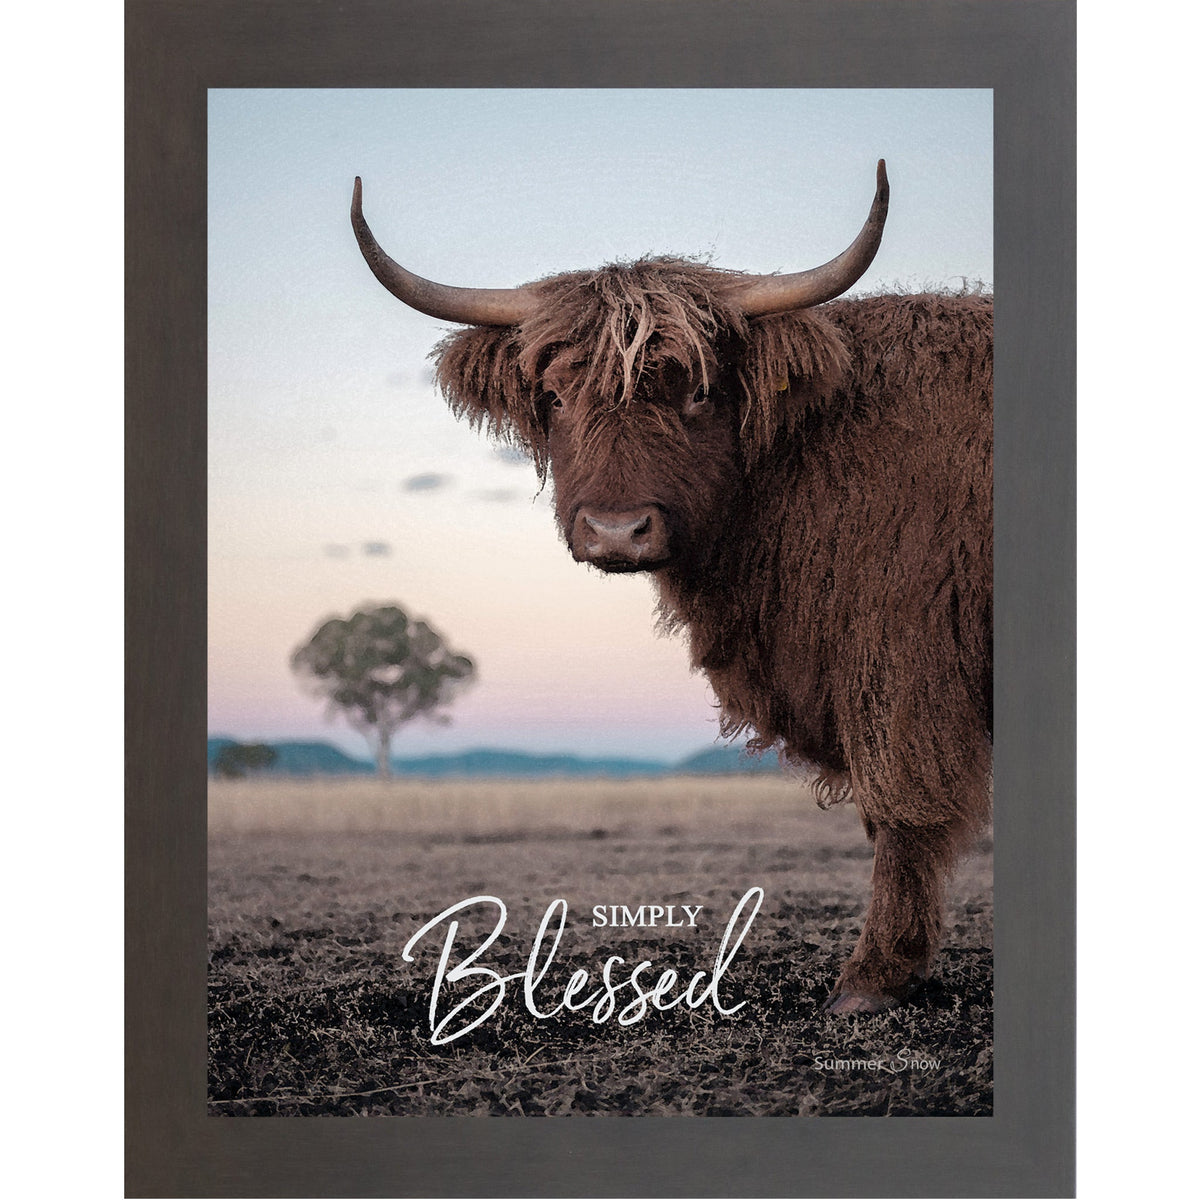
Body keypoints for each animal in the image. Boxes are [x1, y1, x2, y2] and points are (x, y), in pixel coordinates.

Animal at [351, 162, 992, 1014]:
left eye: (697, 392)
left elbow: (899, 809)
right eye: (555, 398)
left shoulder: (902, 658)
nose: (617, 530)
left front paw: (873, 977)